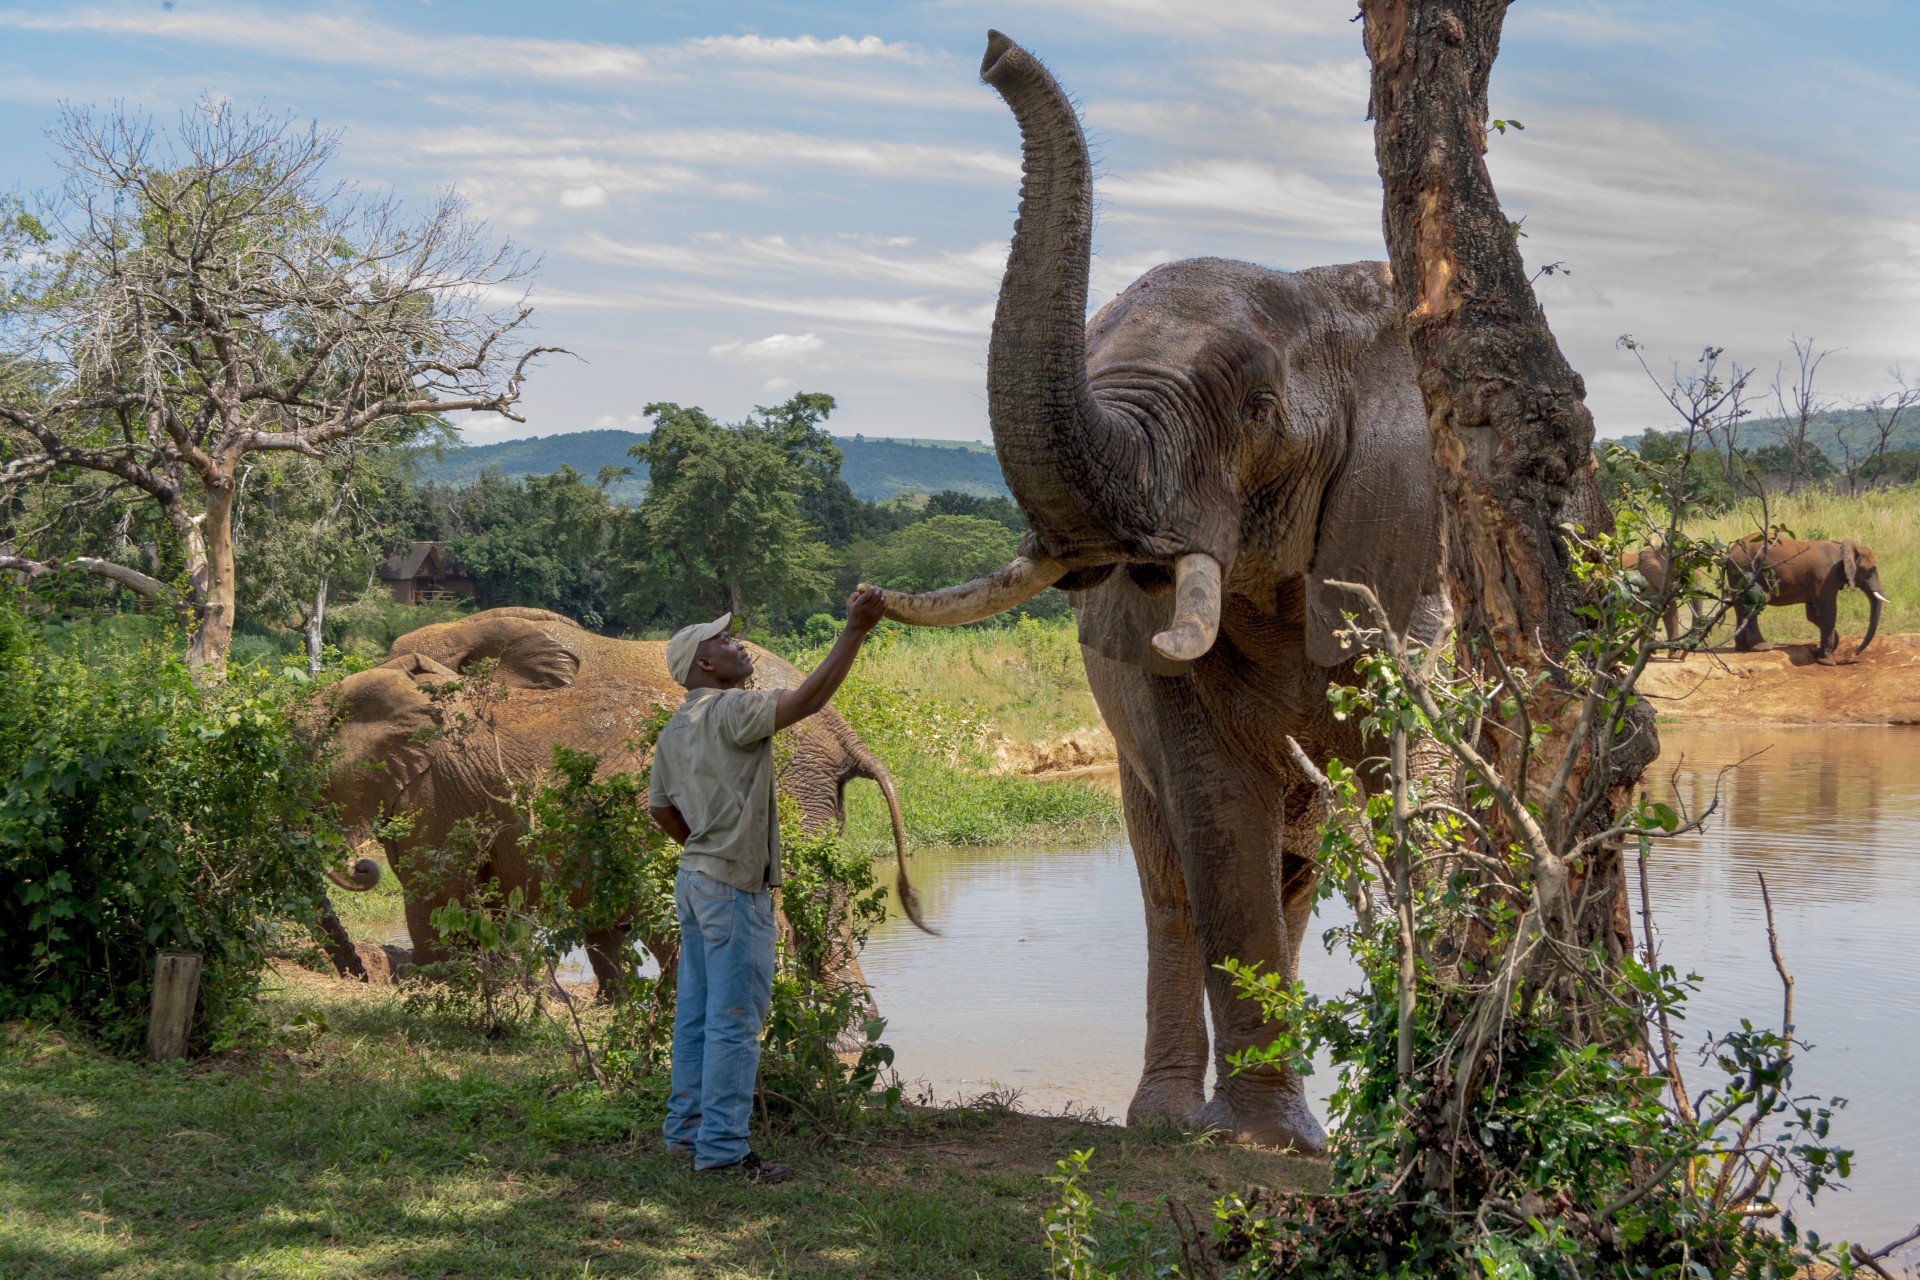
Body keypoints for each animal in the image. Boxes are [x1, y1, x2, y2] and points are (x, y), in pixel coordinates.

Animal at [869, 33, 1455, 1152]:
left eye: (1261, 408)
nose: (992, 49)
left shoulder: (1423, 565)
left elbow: (1426, 793)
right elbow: (1218, 818)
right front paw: (1265, 1143)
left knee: (1291, 868)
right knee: (1176, 879)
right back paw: (1165, 1123)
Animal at [1724, 536, 1886, 662]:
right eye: (1871, 569)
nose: (1856, 652)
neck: (1842, 547)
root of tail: (1731, 550)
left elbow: (1813, 615)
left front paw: (1818, 651)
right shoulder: (1825, 576)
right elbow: (1827, 612)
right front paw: (1827, 661)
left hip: (1737, 573)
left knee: (1739, 607)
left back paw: (1742, 648)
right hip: (1747, 570)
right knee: (1752, 606)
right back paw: (1762, 647)